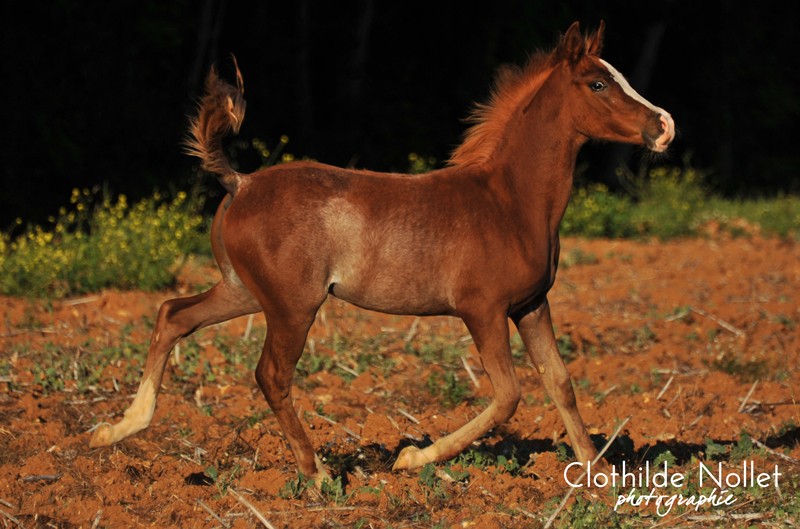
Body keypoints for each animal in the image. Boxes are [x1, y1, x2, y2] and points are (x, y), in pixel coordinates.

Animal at [89, 20, 676, 482]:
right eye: (598, 83)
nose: (664, 126)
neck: (508, 200)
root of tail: (241, 182)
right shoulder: (482, 311)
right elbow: (509, 396)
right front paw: (411, 458)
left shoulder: (531, 305)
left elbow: (561, 382)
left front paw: (599, 477)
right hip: (292, 306)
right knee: (270, 374)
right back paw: (317, 475)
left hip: (244, 291)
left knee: (173, 314)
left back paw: (116, 429)